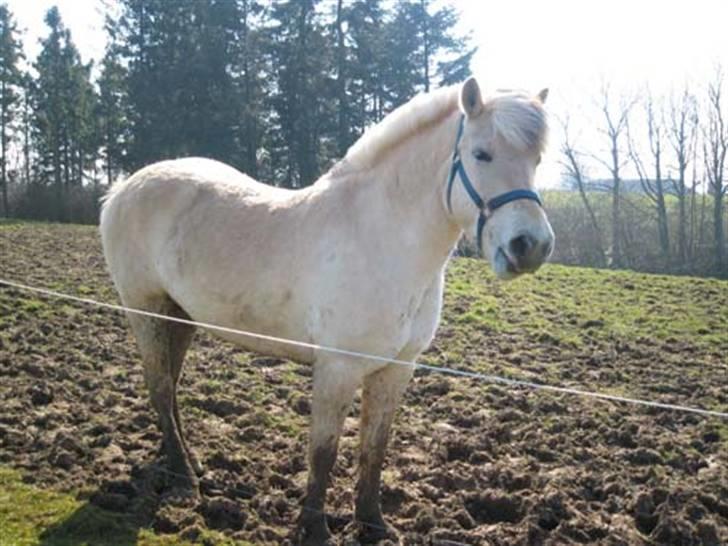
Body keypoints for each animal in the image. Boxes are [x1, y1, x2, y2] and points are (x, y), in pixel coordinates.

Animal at [99, 77, 556, 544]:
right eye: (481, 154)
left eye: (536, 160)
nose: (531, 246)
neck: (381, 238)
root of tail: (122, 190)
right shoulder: (338, 367)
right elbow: (324, 451)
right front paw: (314, 527)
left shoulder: (397, 368)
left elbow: (374, 448)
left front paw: (373, 524)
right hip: (146, 312)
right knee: (159, 386)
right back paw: (184, 477)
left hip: (179, 316)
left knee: (170, 387)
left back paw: (181, 462)